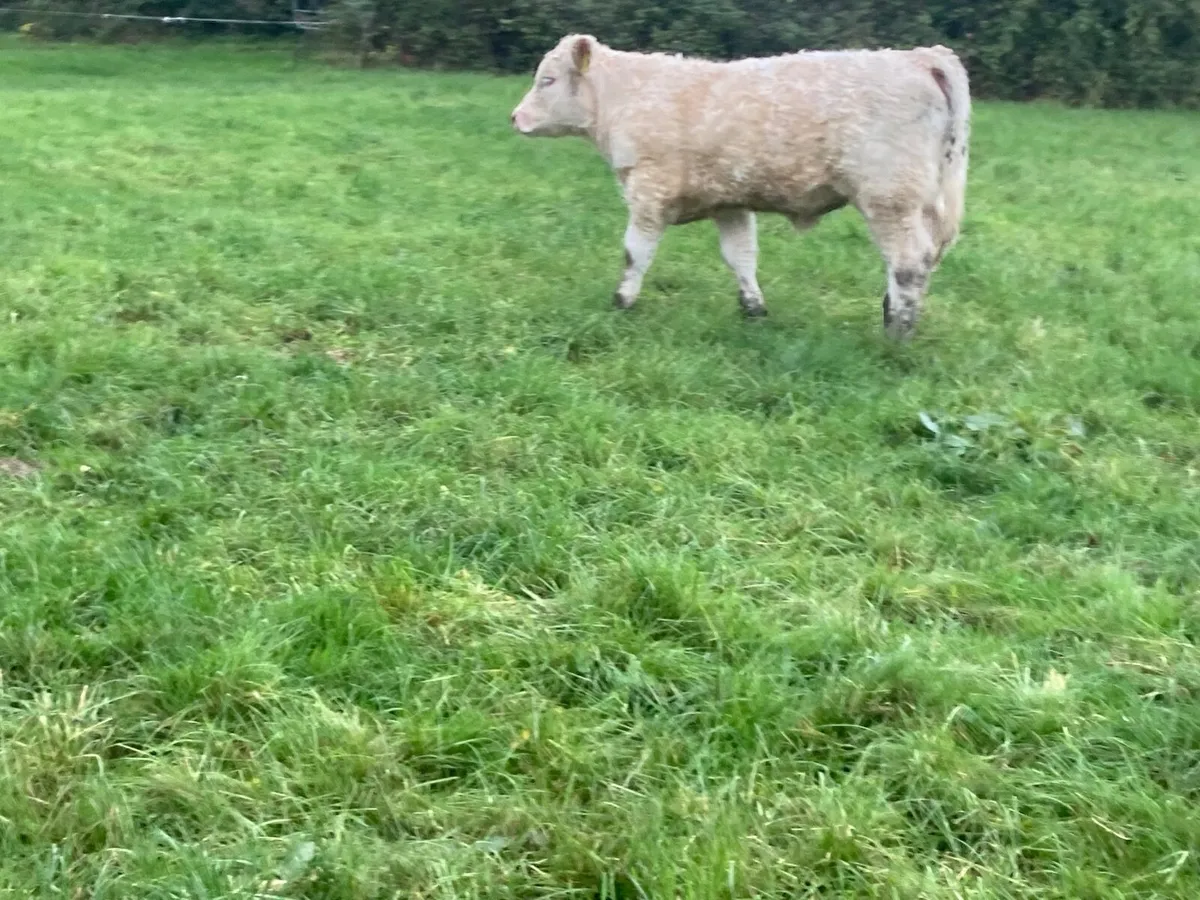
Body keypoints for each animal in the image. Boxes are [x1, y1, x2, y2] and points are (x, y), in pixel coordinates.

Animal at [510, 34, 970, 339]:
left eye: (547, 80)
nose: (515, 118)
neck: (626, 97)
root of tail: (921, 57)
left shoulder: (649, 191)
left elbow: (634, 252)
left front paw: (622, 301)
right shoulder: (729, 201)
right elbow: (741, 256)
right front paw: (753, 309)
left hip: (890, 197)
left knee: (909, 261)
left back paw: (897, 331)